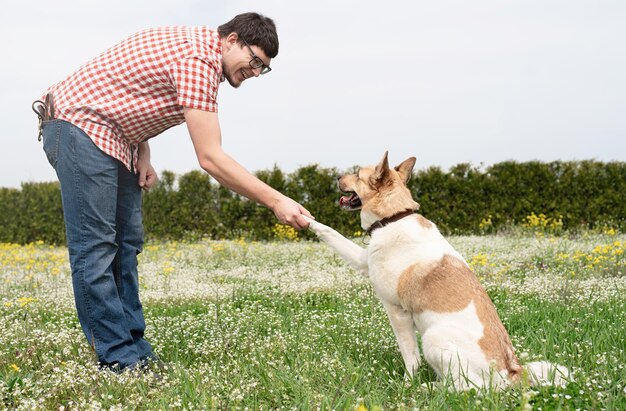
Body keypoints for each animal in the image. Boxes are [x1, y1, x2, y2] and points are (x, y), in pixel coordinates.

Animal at [304, 153, 568, 392]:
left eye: (357, 175)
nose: (337, 177)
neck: (394, 217)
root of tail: (510, 374)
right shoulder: (362, 260)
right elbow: (330, 232)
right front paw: (307, 220)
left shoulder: (397, 312)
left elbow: (410, 357)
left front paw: (407, 385)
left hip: (434, 337)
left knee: (466, 387)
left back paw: (428, 388)